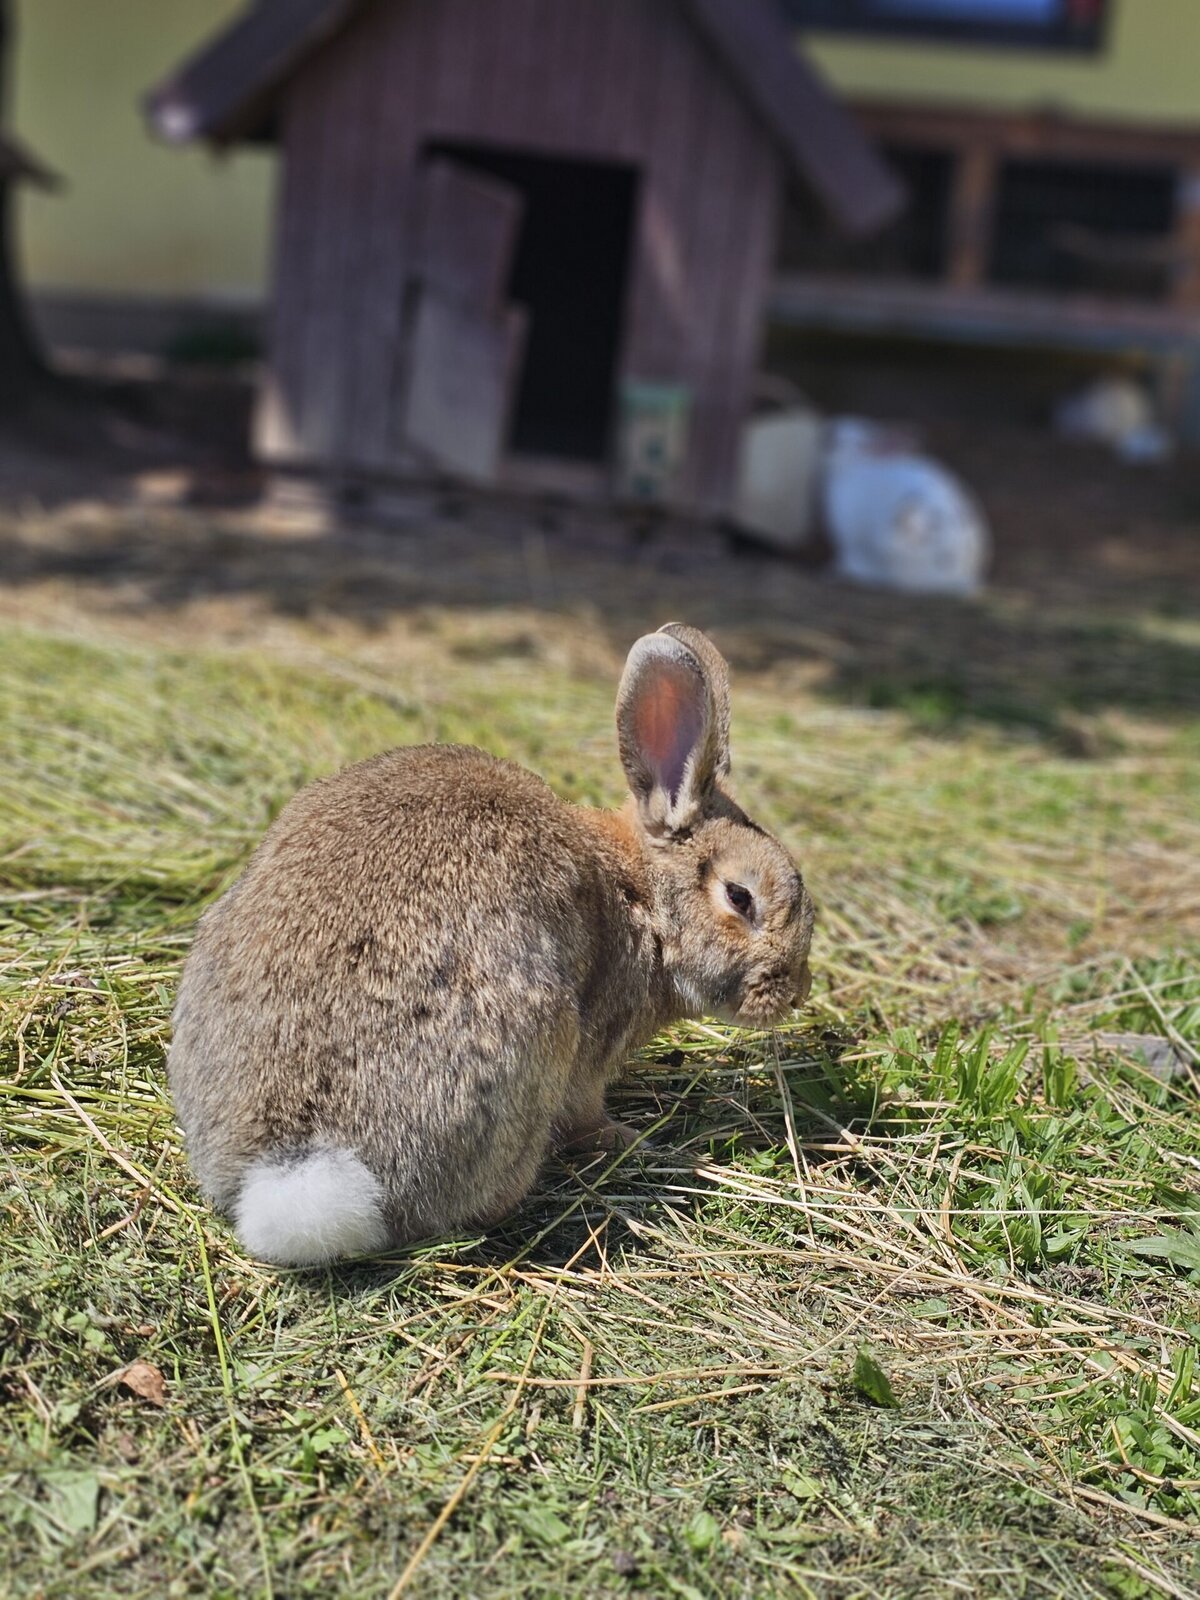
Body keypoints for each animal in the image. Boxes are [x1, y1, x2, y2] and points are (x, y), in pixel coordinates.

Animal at [169, 623, 815, 1266]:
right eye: (740, 897)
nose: (796, 991)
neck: (645, 897)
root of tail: (292, 1170)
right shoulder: (591, 1051)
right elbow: (585, 1113)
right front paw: (627, 1139)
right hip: (542, 1037)